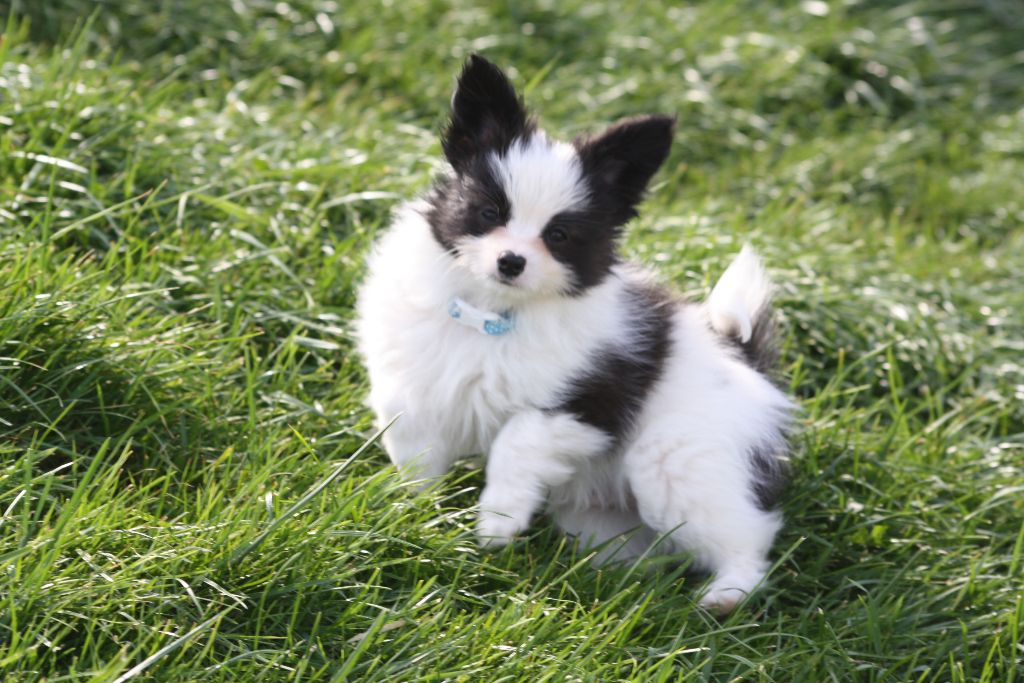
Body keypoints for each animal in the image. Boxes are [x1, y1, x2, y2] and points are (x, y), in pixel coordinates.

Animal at [356, 54, 794, 614]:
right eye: (489, 213)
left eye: (558, 236)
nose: (511, 261)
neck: (493, 314)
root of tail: (746, 362)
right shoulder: (414, 379)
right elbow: (413, 444)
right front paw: (411, 512)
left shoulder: (589, 404)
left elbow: (517, 438)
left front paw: (498, 520)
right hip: (604, 515)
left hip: (676, 461)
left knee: (748, 534)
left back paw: (727, 593)